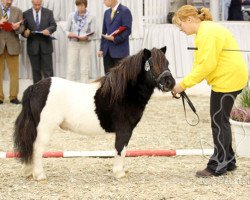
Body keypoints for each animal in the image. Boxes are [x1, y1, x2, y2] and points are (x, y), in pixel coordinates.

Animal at [12, 46, 175, 180]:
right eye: (151, 65)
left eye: (167, 63)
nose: (170, 83)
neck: (122, 93)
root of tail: (34, 87)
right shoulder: (124, 130)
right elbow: (120, 149)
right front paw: (119, 173)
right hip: (45, 128)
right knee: (37, 148)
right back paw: (40, 176)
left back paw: (29, 172)